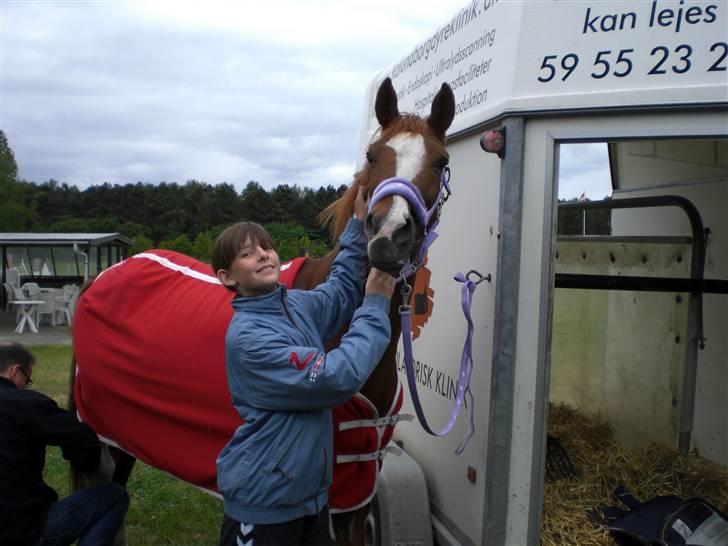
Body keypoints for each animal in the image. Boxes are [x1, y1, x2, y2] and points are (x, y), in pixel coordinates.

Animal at [68, 77, 456, 544]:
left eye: (441, 160)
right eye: (371, 154)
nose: (387, 236)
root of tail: (104, 275)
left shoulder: (357, 493)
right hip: (102, 438)